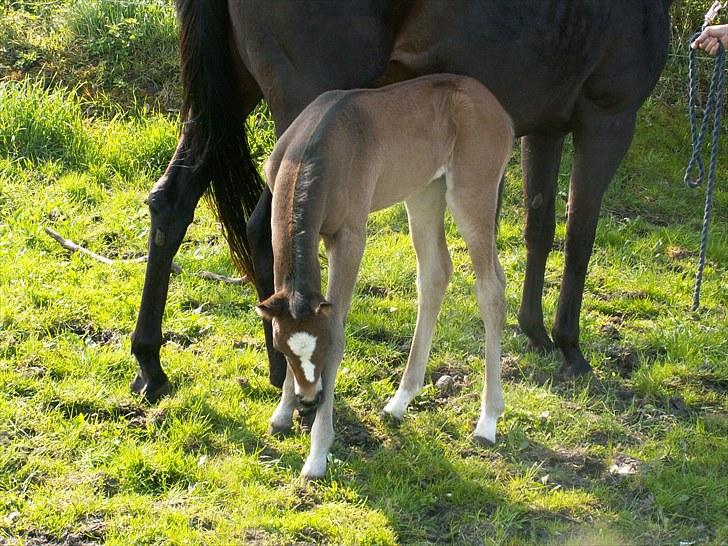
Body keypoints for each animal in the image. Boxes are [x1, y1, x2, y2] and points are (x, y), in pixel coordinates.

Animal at [128, 0, 668, 400]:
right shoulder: (607, 120)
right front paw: (570, 347)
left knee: (172, 204)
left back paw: (151, 365)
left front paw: (534, 331)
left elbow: (541, 227)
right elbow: (580, 238)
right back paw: (283, 373)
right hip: (300, 111)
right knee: (266, 227)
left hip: (229, 98)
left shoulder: (546, 128)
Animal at [256, 73, 512, 476]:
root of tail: (495, 106)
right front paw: (282, 413)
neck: (315, 149)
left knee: (491, 287)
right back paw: (400, 401)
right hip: (425, 192)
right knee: (434, 274)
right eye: (281, 348)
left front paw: (317, 454)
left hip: (473, 192)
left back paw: (487, 421)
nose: (310, 400)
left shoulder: (349, 237)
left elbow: (339, 331)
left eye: (323, 347)